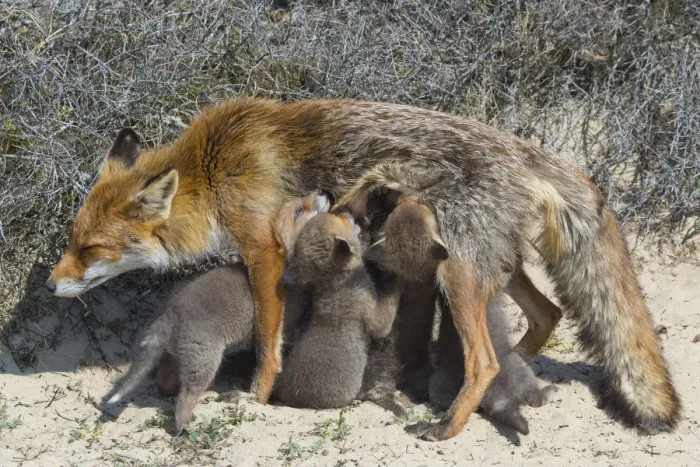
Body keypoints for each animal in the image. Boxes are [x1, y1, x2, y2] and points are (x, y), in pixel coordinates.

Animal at [104, 191, 330, 431]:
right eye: (298, 211)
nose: (324, 192)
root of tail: (170, 315)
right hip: (205, 362)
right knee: (182, 404)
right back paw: (191, 425)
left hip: (177, 359)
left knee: (164, 385)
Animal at [274, 211, 401, 409]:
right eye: (342, 221)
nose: (346, 212)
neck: (334, 280)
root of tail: (289, 398)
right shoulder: (374, 315)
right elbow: (386, 313)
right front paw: (394, 276)